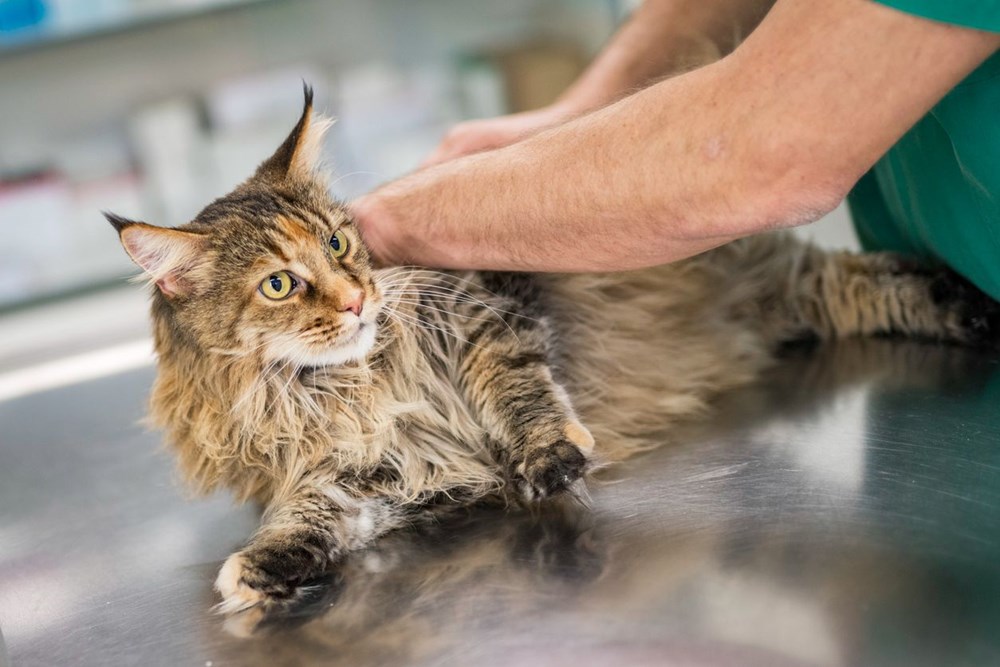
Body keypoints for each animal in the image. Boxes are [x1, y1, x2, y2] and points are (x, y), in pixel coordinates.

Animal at [105, 87, 996, 616]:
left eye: (337, 241)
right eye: (279, 284)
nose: (357, 298)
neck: (341, 386)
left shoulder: (488, 310)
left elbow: (520, 390)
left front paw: (549, 456)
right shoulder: (358, 470)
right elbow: (306, 514)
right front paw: (263, 567)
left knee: (863, 276)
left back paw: (970, 303)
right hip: (791, 298)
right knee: (850, 286)